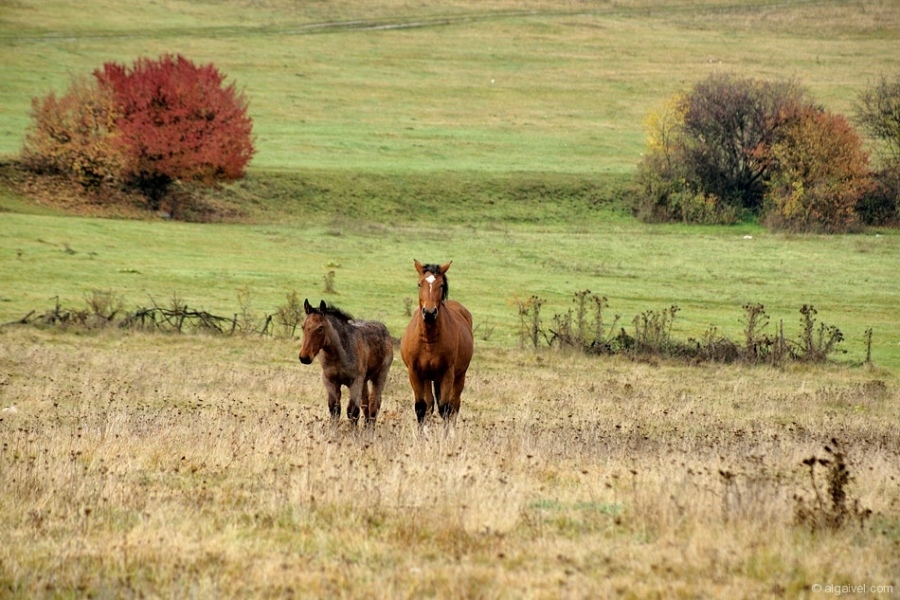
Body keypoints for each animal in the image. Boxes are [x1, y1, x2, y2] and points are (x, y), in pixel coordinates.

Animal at [298, 298, 394, 426]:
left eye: (320, 328)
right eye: (302, 326)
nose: (304, 357)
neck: (338, 357)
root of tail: (384, 328)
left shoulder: (355, 382)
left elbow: (352, 412)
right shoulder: (330, 381)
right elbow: (335, 410)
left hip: (379, 376)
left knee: (375, 403)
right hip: (364, 381)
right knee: (366, 404)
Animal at [400, 260, 474, 424]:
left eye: (441, 285)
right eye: (419, 284)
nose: (429, 312)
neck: (429, 340)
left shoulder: (448, 373)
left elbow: (445, 408)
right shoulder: (415, 373)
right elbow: (422, 408)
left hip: (459, 376)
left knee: (454, 407)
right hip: (429, 378)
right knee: (430, 405)